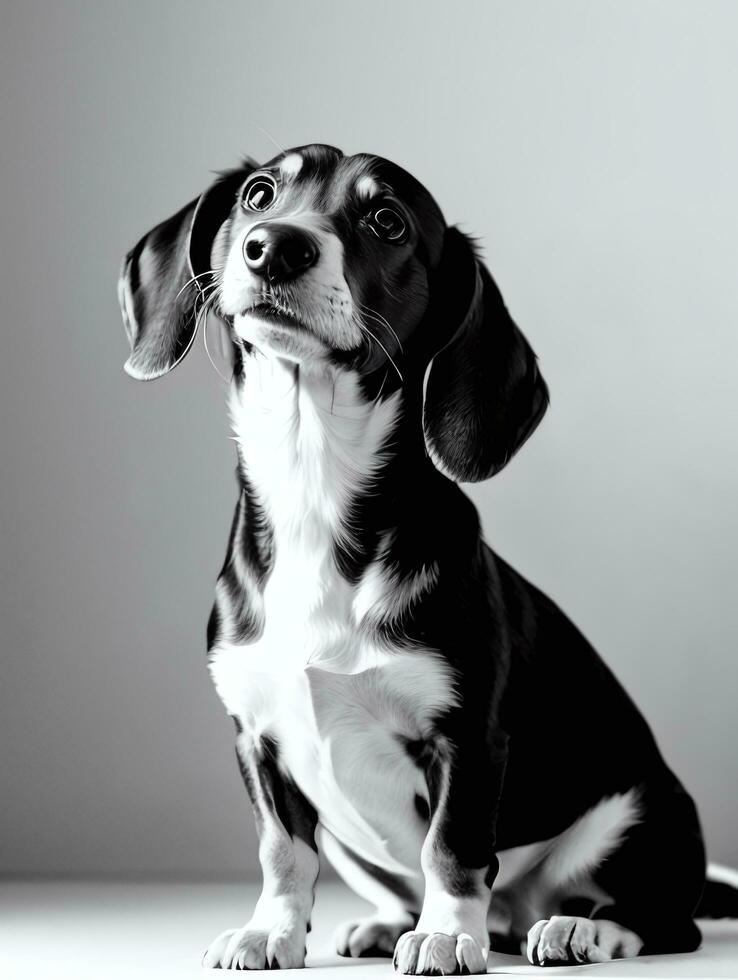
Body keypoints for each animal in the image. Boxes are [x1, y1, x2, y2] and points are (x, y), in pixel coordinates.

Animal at [118, 144, 732, 972]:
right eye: (259, 193)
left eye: (388, 220)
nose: (275, 246)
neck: (313, 489)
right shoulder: (257, 736)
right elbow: (283, 852)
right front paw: (272, 929)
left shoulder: (467, 739)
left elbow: (452, 848)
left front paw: (444, 934)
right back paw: (395, 923)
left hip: (635, 817)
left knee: (663, 920)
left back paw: (579, 929)